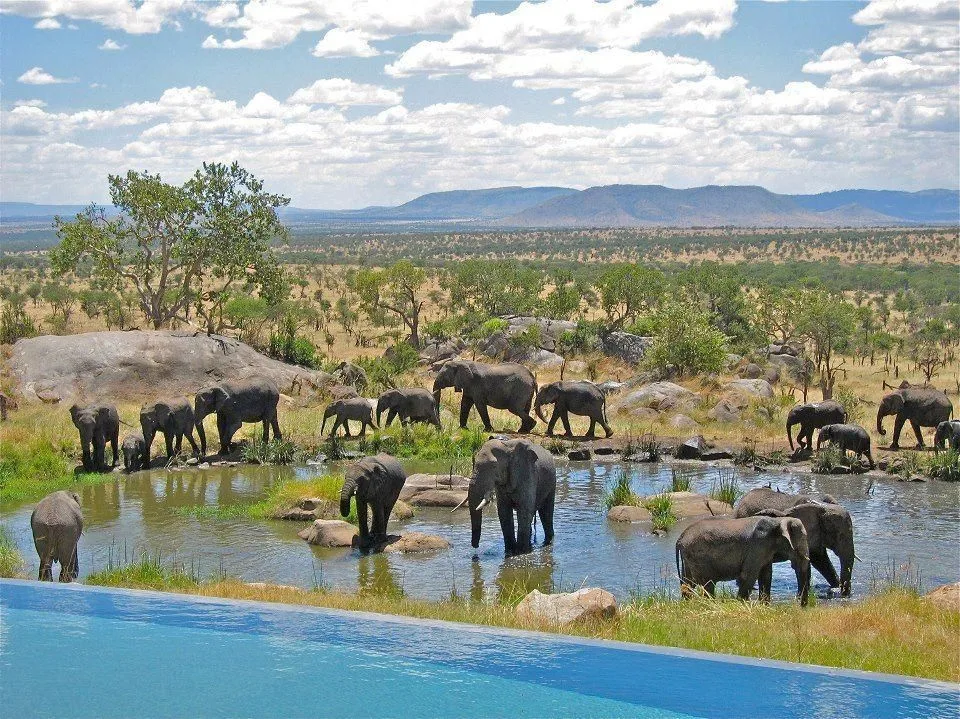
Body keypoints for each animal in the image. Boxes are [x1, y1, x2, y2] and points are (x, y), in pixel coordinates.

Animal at [676, 515, 811, 605]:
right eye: (802, 540)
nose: (800, 605)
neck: (777, 520)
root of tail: (680, 538)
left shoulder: (766, 551)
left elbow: (766, 576)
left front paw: (764, 607)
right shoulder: (757, 546)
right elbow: (749, 576)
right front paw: (742, 604)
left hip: (689, 558)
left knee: (688, 582)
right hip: (698, 557)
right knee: (707, 583)